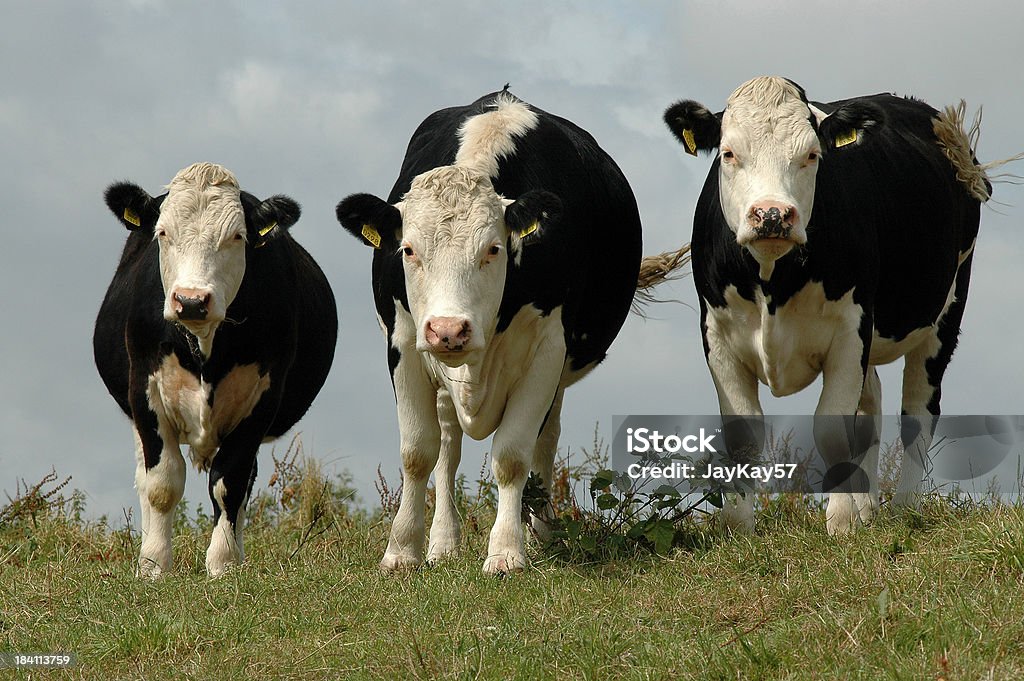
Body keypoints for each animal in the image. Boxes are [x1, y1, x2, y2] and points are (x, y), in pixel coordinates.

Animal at [94, 161, 337, 577]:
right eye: (163, 233)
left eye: (237, 236)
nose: (191, 300)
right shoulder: (144, 388)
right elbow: (161, 483)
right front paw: (153, 565)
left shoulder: (263, 396)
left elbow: (230, 481)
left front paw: (223, 563)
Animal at [339, 87, 651, 569]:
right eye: (408, 250)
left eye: (493, 249)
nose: (448, 330)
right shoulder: (404, 341)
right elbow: (418, 452)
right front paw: (402, 551)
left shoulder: (547, 350)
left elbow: (513, 456)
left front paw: (506, 552)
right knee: (448, 448)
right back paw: (443, 543)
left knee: (545, 442)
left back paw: (543, 532)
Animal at [659, 74, 995, 532]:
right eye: (729, 153)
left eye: (812, 155)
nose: (772, 215)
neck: (773, 283)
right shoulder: (717, 334)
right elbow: (743, 436)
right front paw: (738, 527)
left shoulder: (850, 329)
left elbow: (833, 430)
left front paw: (841, 522)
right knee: (871, 407)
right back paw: (869, 507)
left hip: (947, 308)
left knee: (918, 411)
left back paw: (904, 507)